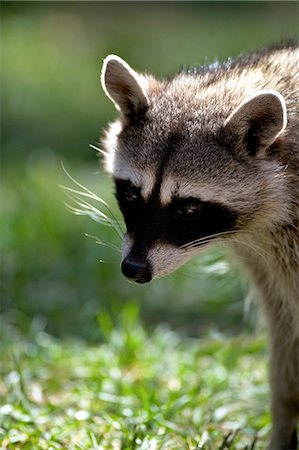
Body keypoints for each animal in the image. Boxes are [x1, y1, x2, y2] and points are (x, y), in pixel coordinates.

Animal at [101, 43, 299, 450]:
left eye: (189, 208)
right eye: (130, 194)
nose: (134, 269)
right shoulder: (269, 261)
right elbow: (285, 335)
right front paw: (284, 420)